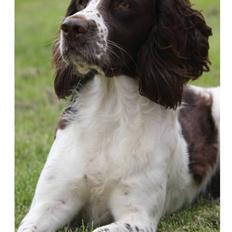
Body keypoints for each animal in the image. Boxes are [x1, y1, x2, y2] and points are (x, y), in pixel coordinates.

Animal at [17, 0, 219, 232]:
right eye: (80, 3)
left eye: (123, 4)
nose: (71, 27)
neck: (111, 109)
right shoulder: (49, 204)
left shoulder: (137, 216)